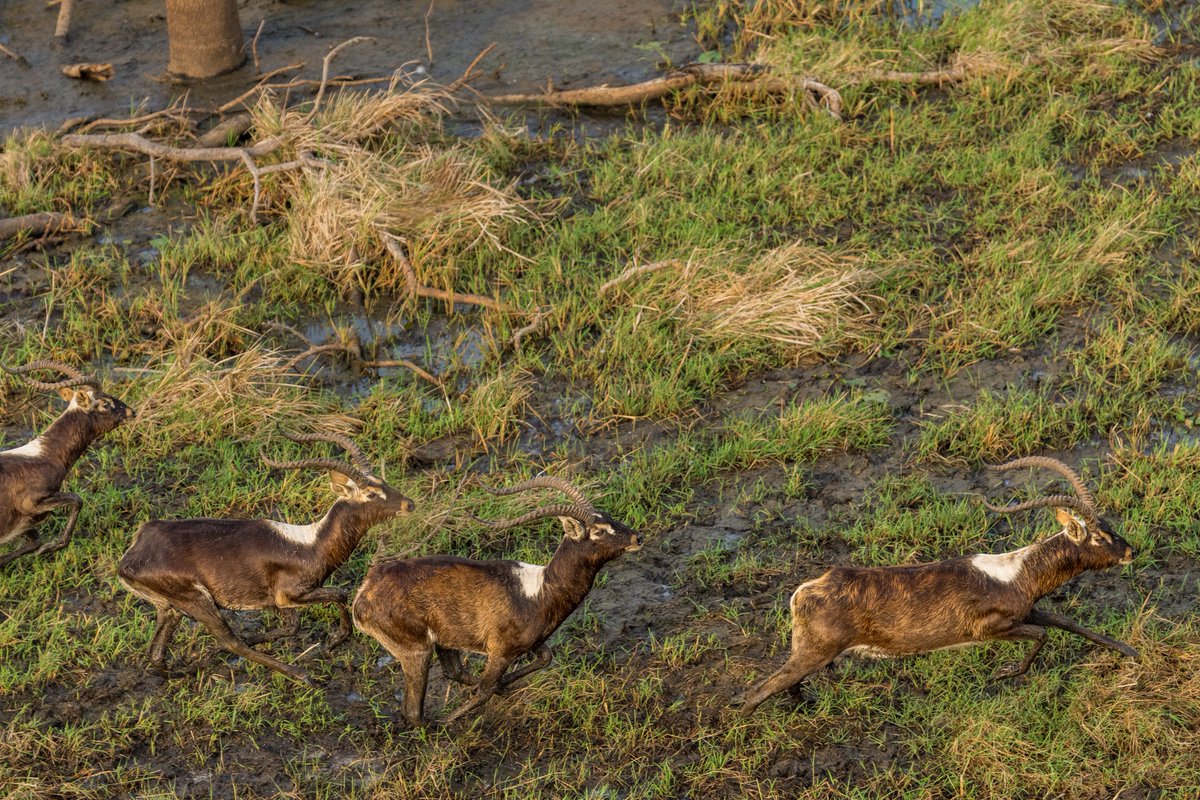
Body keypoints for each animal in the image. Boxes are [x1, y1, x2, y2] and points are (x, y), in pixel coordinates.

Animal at [0, 360, 135, 568]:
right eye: (105, 403)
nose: (131, 411)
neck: (45, 455)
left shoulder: (25, 523)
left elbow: (34, 541)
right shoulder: (32, 504)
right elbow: (77, 499)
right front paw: (51, 547)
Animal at [118, 431, 414, 683]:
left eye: (383, 483)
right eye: (371, 493)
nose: (409, 504)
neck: (312, 543)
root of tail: (133, 553)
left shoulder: (278, 603)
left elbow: (291, 627)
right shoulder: (290, 595)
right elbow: (340, 593)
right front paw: (334, 642)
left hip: (170, 608)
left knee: (156, 653)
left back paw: (188, 667)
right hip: (196, 599)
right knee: (230, 641)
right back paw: (301, 675)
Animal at [352, 476, 641, 726]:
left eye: (609, 518)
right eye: (598, 531)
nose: (637, 537)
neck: (540, 589)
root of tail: (365, 591)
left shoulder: (532, 644)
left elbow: (544, 658)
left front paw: (503, 688)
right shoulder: (500, 653)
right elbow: (485, 689)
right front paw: (456, 716)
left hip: (442, 643)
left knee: (452, 672)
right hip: (417, 651)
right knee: (414, 712)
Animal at [736, 457, 1138, 715]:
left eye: (1108, 527)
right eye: (1099, 537)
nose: (1130, 550)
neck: (1016, 572)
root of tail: (805, 590)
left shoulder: (1027, 610)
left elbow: (1064, 622)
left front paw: (1130, 651)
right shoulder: (988, 628)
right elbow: (1043, 635)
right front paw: (1005, 672)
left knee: (785, 686)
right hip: (814, 653)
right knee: (756, 692)